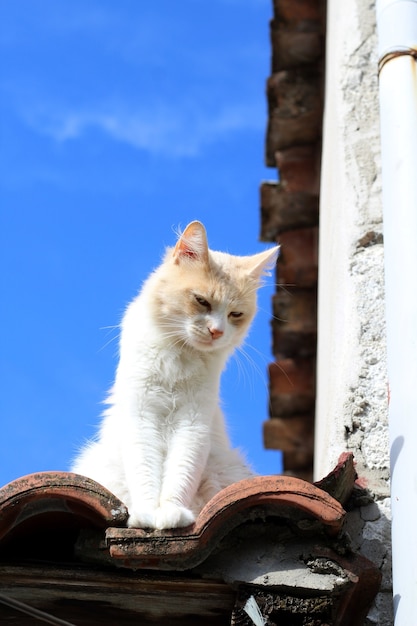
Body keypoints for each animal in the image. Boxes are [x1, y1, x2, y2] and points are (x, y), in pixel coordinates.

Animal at [72, 219, 280, 528]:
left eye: (235, 315)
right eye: (202, 301)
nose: (217, 331)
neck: (181, 357)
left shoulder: (193, 423)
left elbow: (180, 474)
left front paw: (171, 512)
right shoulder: (142, 415)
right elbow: (146, 472)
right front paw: (147, 514)